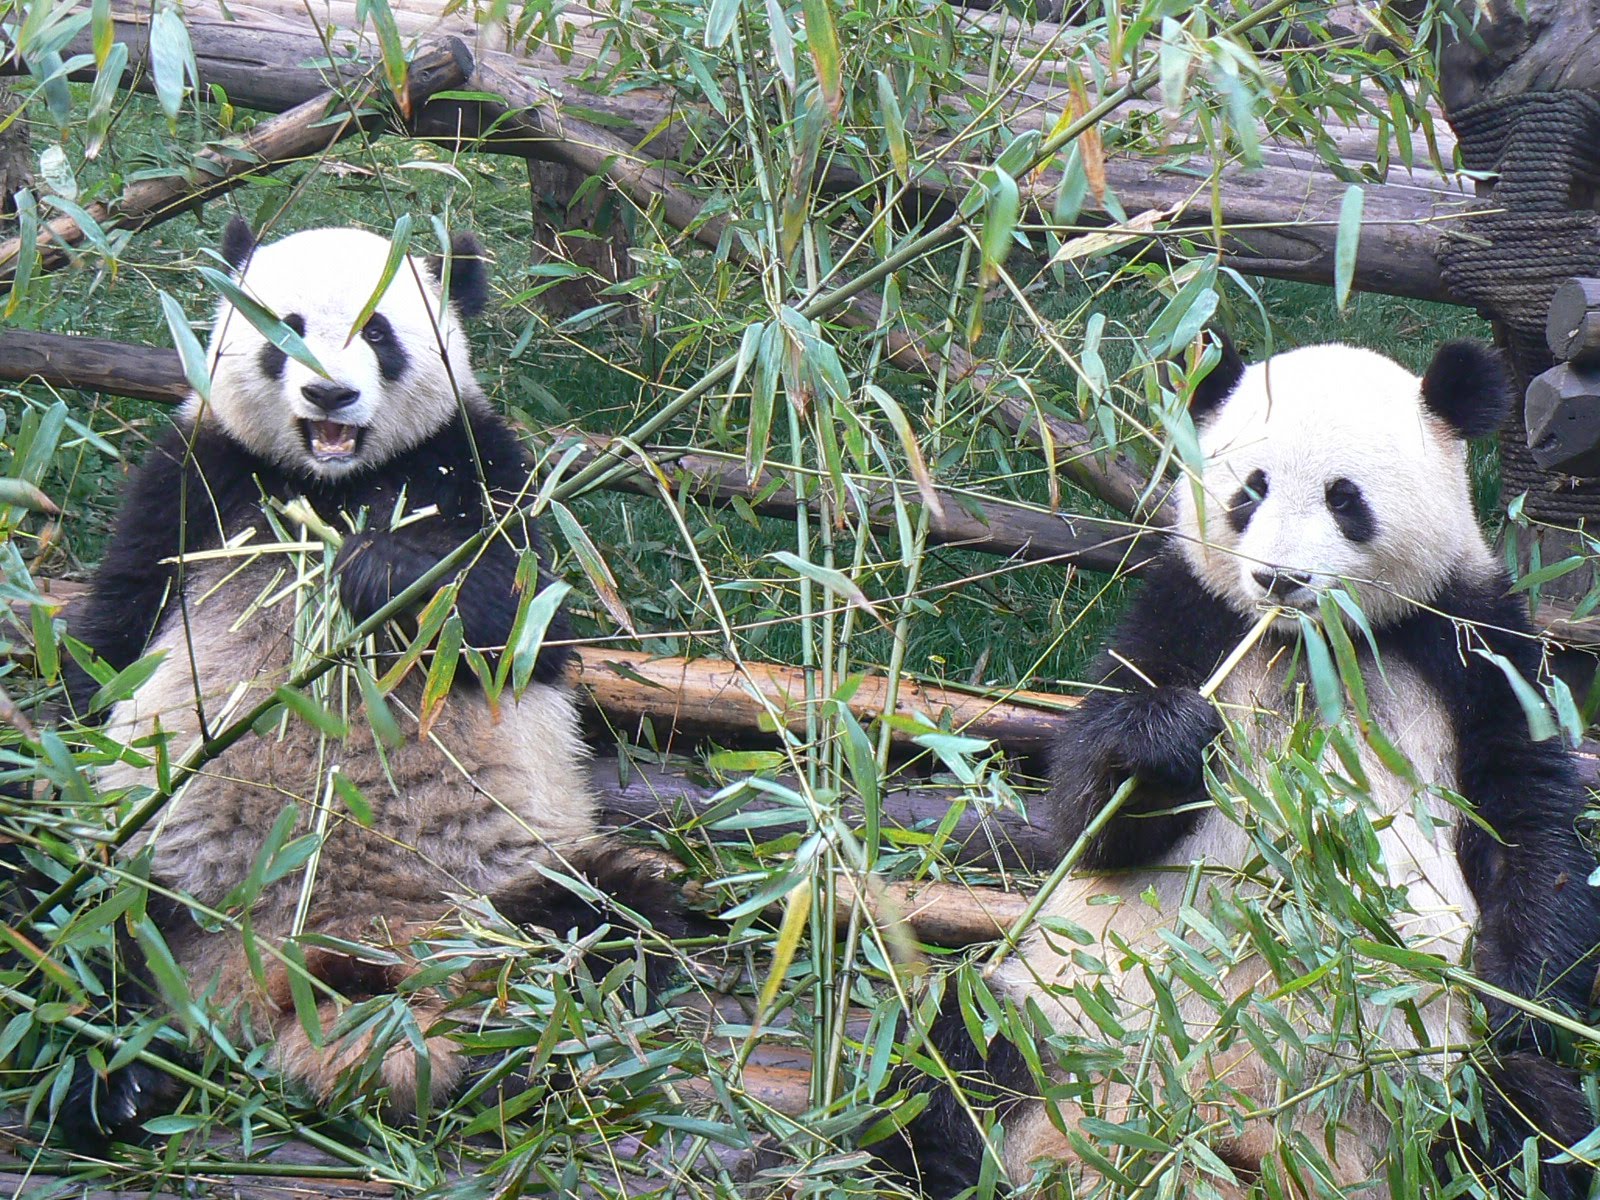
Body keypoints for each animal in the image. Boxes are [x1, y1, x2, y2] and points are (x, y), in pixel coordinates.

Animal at [55, 219, 677, 1147]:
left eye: (380, 332)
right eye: (286, 329)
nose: (329, 395)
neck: (331, 483)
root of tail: (333, 966)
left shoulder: (480, 469)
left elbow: (526, 623)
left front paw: (376, 572)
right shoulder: (193, 478)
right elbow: (113, 638)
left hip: (521, 883)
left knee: (620, 924)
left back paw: (522, 1058)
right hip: (148, 875)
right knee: (68, 920)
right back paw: (117, 1081)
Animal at [882, 337, 1600, 1198]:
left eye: (1344, 499)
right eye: (1248, 492)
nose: (1279, 580)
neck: (1306, 645)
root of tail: (1205, 1142)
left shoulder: (1476, 639)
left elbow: (1528, 820)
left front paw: (1522, 999)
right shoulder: (1188, 613)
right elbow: (1084, 815)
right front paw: (1164, 738)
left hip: (1419, 1075)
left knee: (1520, 1119)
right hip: (1064, 1007)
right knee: (954, 1043)